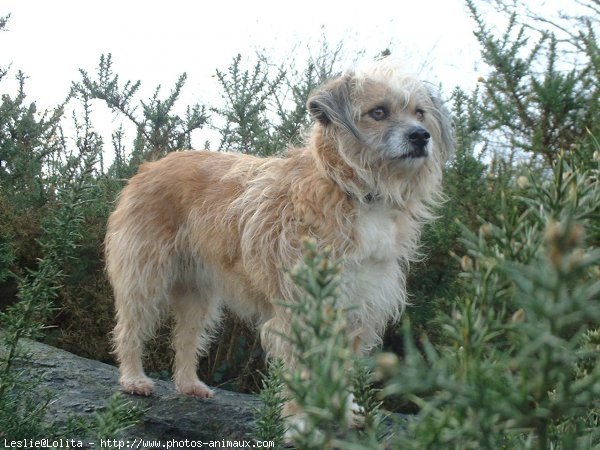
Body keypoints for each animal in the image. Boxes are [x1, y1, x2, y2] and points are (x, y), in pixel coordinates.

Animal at [105, 58, 452, 406]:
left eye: (419, 112)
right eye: (378, 112)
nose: (421, 136)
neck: (356, 191)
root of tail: (148, 166)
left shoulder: (358, 305)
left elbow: (341, 367)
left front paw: (340, 410)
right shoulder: (301, 308)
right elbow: (302, 371)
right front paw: (302, 417)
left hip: (197, 293)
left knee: (186, 340)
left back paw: (189, 384)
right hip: (144, 277)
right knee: (129, 329)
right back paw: (133, 378)